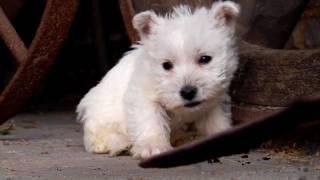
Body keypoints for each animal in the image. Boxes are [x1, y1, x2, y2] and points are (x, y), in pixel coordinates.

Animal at [76, 1, 239, 159]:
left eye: (205, 59)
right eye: (166, 65)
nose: (188, 92)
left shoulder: (215, 98)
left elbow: (215, 119)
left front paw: (220, 135)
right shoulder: (143, 95)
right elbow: (150, 120)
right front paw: (153, 147)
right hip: (101, 119)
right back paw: (120, 144)